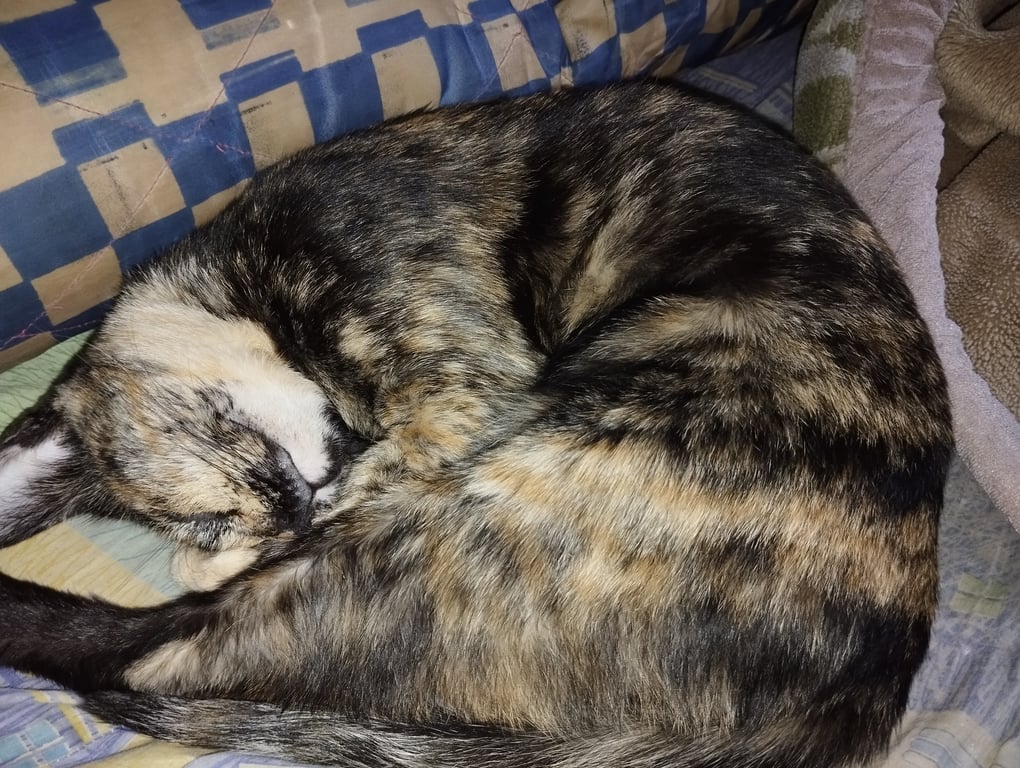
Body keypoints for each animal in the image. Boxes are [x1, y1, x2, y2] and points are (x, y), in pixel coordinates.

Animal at [0, 80, 952, 767]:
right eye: (216, 512)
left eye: (217, 423)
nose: (289, 499)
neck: (259, 283)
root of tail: (862, 704)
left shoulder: (459, 398)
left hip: (471, 518)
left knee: (155, 653)